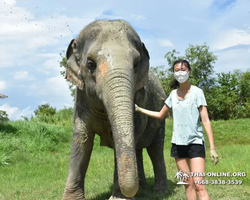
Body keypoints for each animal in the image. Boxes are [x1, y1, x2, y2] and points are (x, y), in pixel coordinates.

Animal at [61, 19, 169, 200]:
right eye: (90, 64)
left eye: (136, 64)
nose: (136, 106)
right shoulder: (81, 100)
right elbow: (82, 140)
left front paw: (119, 198)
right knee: (138, 149)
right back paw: (143, 189)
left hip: (160, 118)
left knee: (155, 149)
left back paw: (158, 191)